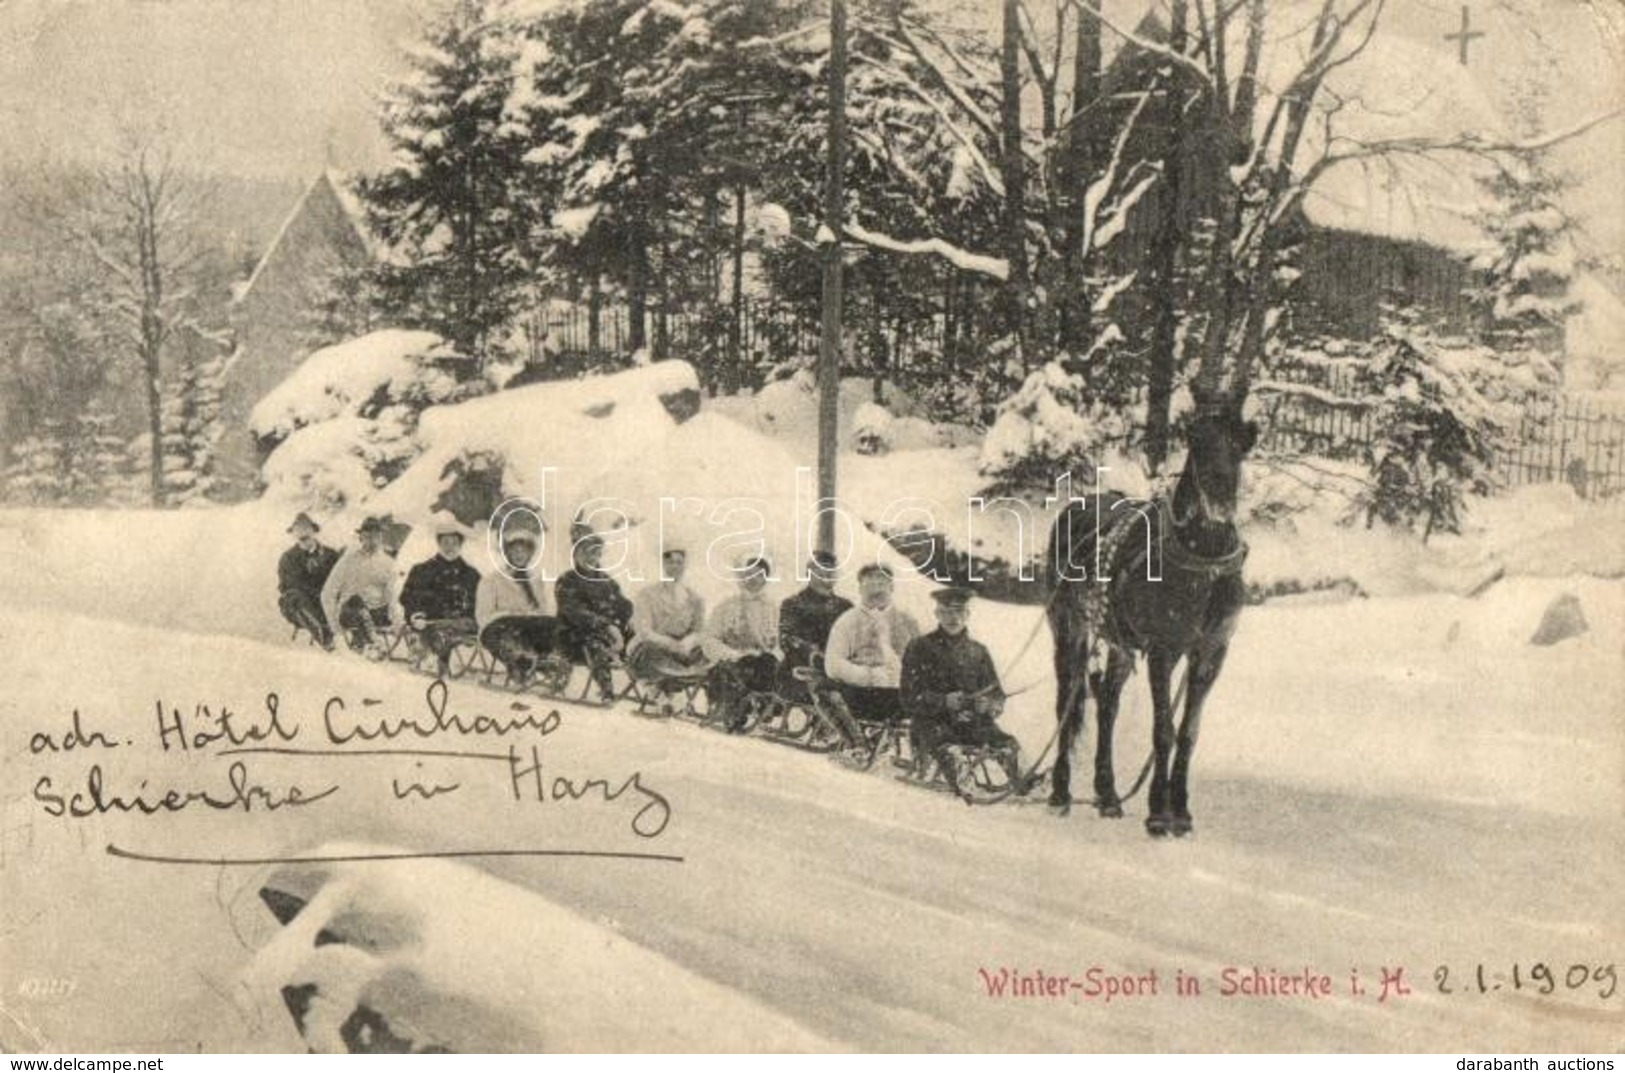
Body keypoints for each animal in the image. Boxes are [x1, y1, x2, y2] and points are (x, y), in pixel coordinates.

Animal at [1046, 406, 1261, 832]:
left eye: (1239, 449)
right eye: (1198, 445)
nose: (1219, 504)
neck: (1204, 564)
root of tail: (1078, 505)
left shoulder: (1211, 654)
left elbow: (1188, 732)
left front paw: (1181, 811)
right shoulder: (1164, 650)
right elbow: (1163, 730)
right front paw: (1159, 814)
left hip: (1119, 642)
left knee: (1107, 703)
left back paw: (1108, 795)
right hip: (1069, 629)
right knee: (1067, 702)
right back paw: (1060, 792)